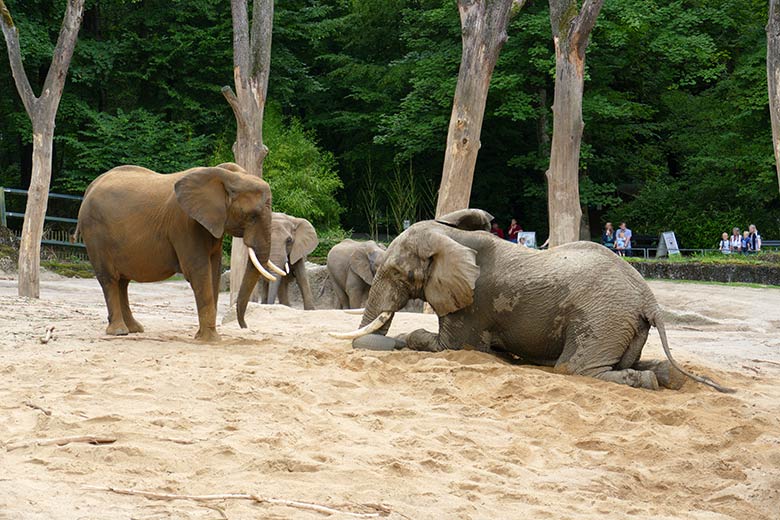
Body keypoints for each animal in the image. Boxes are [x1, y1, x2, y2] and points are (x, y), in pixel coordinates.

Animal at [74, 162, 284, 342]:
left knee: (122, 282)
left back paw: (134, 329)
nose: (244, 326)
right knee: (109, 279)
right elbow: (198, 271)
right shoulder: (185, 224)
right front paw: (210, 340)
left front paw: (204, 337)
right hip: (95, 233)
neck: (227, 176)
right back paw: (119, 332)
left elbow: (214, 271)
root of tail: (91, 187)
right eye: (253, 216)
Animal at [332, 209, 736, 392]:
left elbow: (448, 346)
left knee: (575, 369)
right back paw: (663, 377)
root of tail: (649, 298)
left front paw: (408, 340)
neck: (452, 239)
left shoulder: (473, 301)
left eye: (397, 273)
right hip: (625, 323)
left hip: (602, 316)